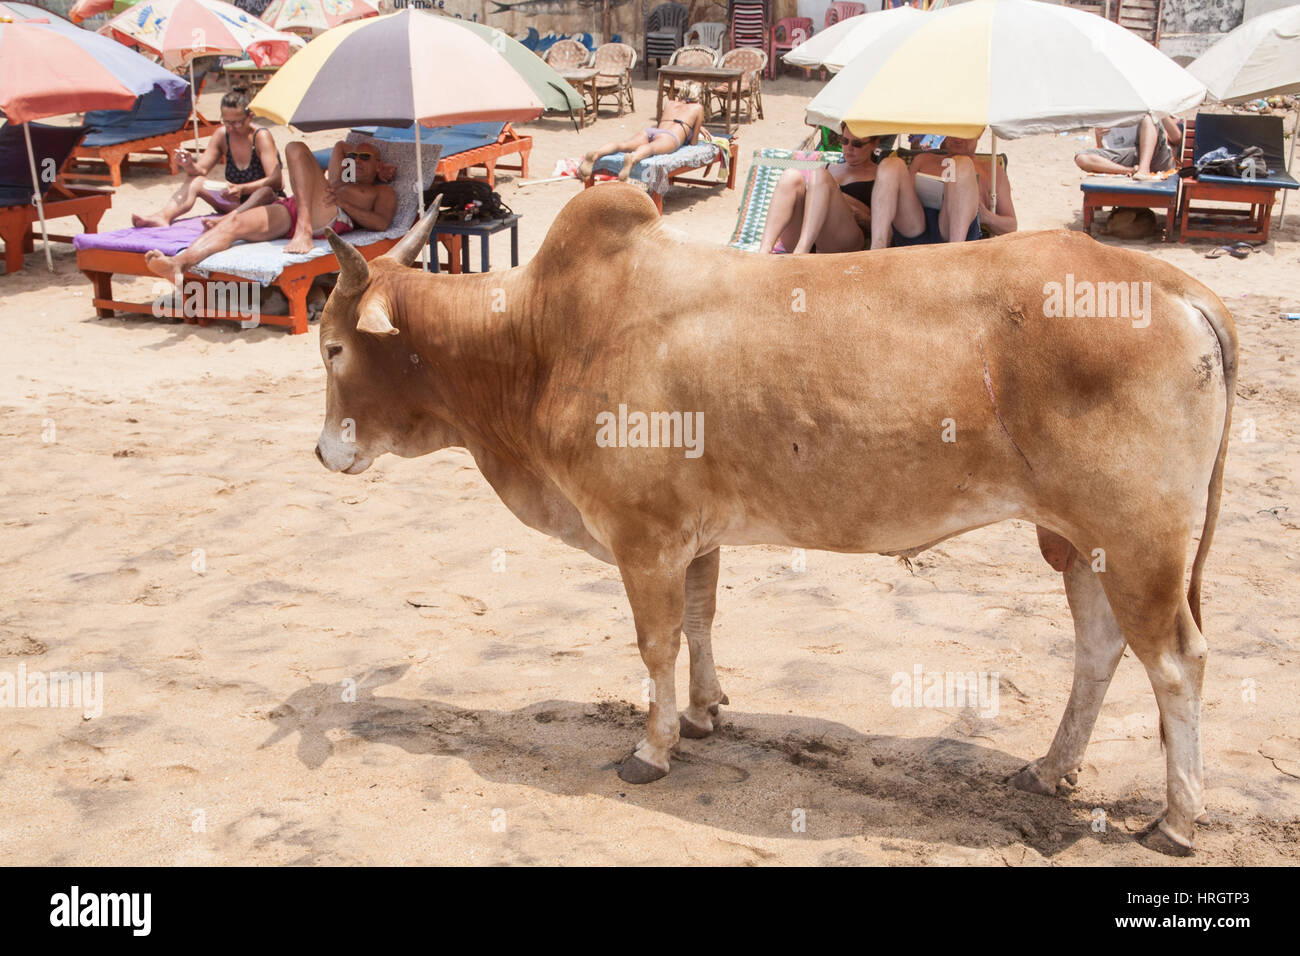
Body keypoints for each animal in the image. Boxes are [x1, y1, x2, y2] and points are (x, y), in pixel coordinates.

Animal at [314, 184, 1237, 853]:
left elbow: (656, 643)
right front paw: (705, 713)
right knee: (1100, 648)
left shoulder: (643, 538)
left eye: (331, 348)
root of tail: (1179, 286)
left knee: (1178, 663)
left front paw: (651, 749)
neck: (540, 339)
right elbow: (700, 620)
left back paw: (1177, 820)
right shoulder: (695, 537)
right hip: (1082, 543)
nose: (324, 453)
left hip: (1140, 542)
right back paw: (1050, 770)